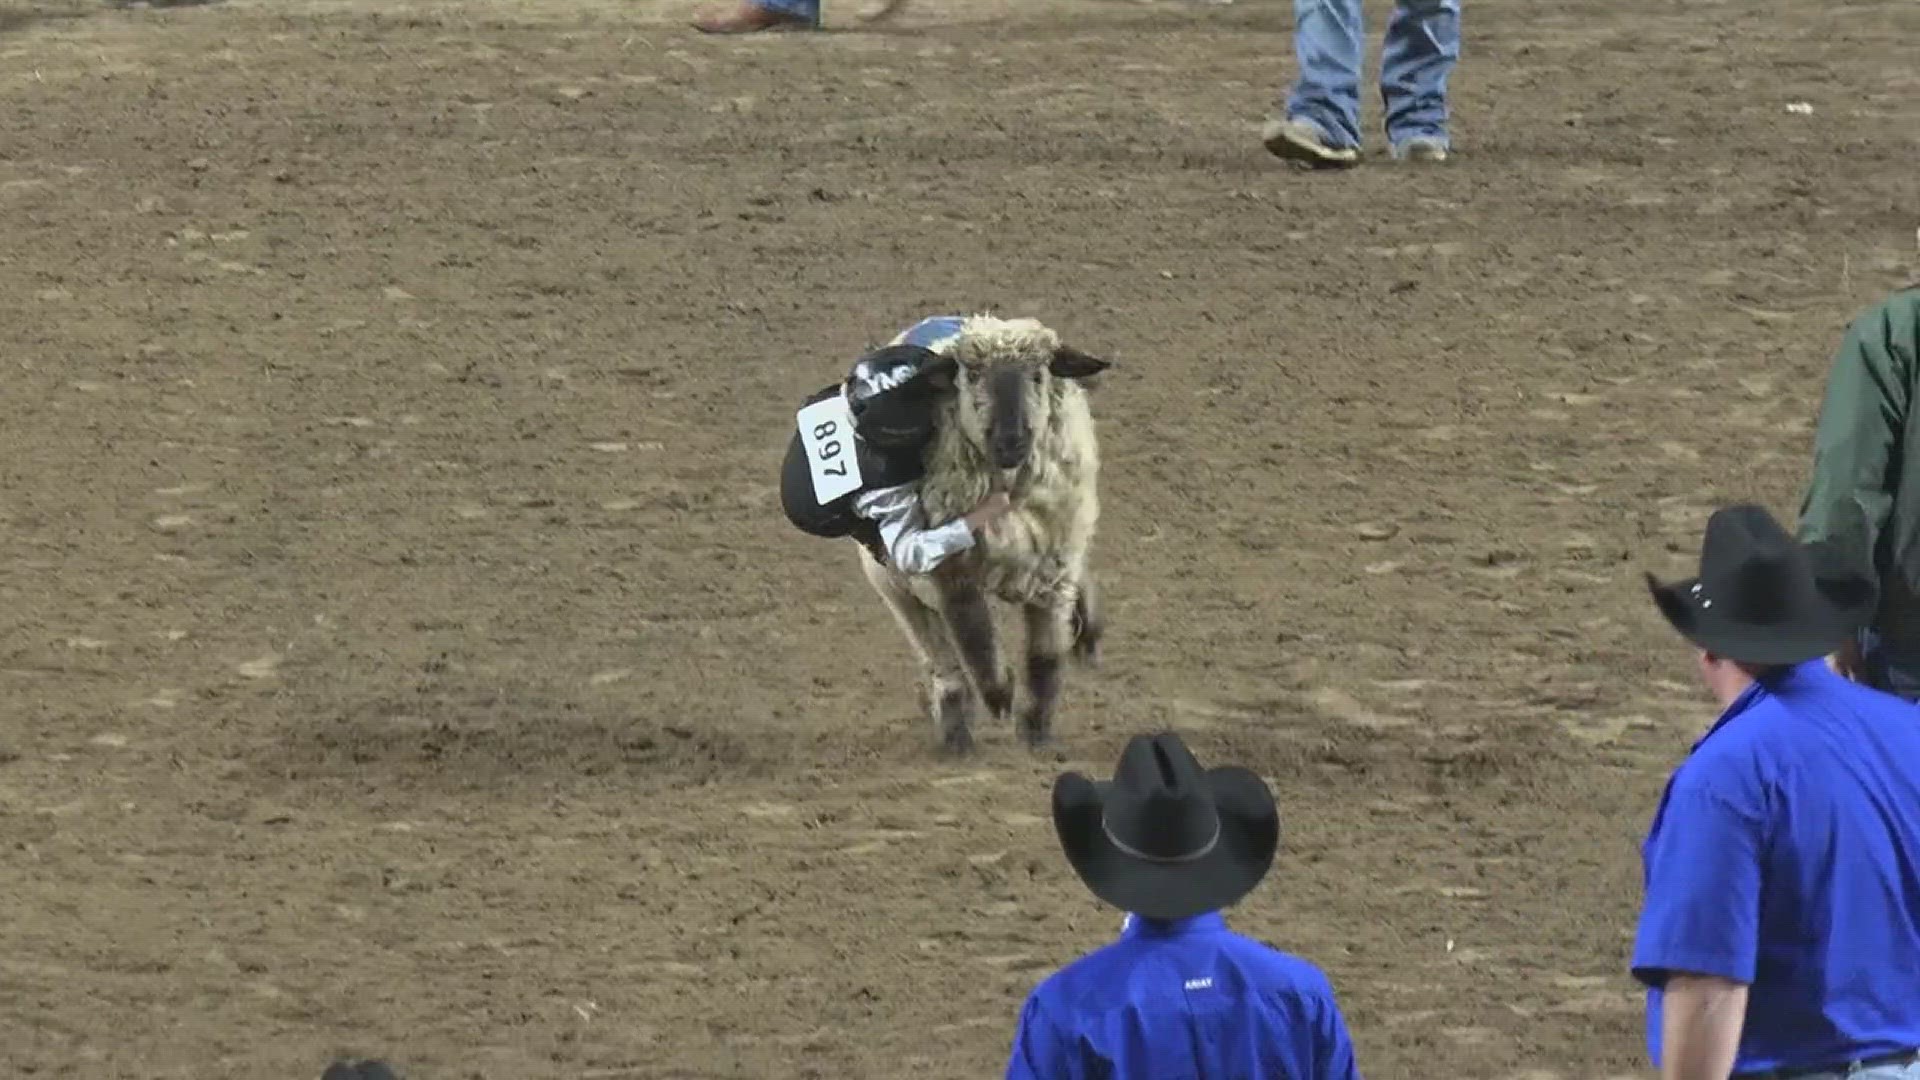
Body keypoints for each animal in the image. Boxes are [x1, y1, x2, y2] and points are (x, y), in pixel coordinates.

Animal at [860, 311, 1113, 749]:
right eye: (972, 374)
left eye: (1038, 374)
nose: (1010, 440)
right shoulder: (951, 577)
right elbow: (974, 637)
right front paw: (1001, 697)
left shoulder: (1051, 566)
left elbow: (1045, 656)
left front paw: (1036, 732)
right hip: (895, 588)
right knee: (942, 663)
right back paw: (955, 733)